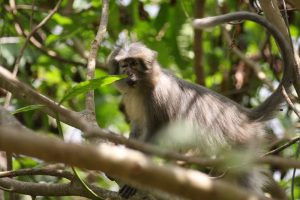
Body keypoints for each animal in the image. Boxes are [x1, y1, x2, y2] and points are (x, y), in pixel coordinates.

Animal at [107, 11, 292, 199]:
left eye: (134, 63)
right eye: (124, 64)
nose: (128, 73)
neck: (142, 88)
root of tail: (245, 115)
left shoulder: (157, 97)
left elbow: (155, 133)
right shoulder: (131, 101)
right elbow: (137, 129)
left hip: (243, 144)